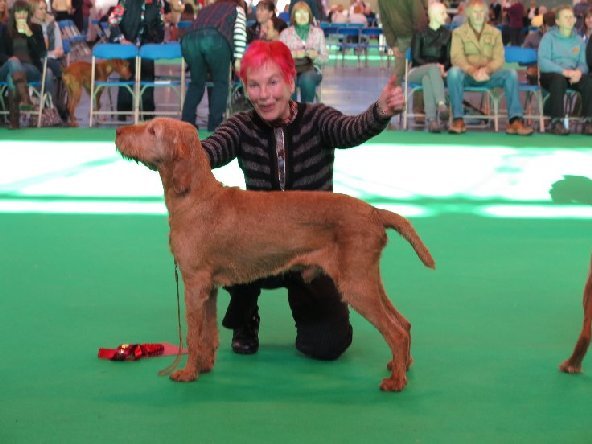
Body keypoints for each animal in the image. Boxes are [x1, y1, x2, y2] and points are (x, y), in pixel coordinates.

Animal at [114, 118, 434, 392]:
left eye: (153, 130)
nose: (117, 131)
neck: (195, 195)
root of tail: (375, 212)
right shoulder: (209, 288)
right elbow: (208, 333)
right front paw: (204, 367)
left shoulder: (194, 283)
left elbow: (194, 335)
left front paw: (187, 373)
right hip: (367, 278)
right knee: (403, 322)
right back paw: (400, 365)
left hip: (356, 285)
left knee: (395, 330)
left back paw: (396, 381)